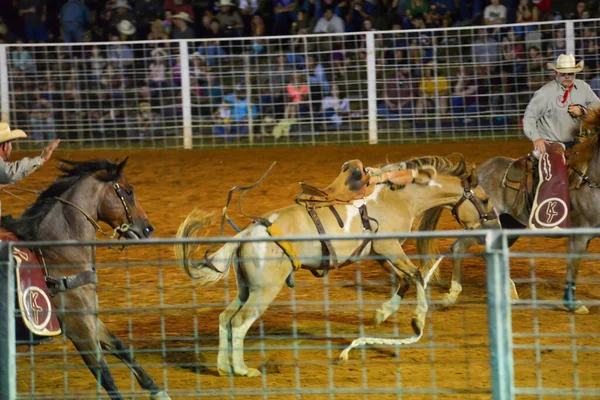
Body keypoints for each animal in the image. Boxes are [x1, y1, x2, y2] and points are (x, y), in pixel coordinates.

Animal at [2, 159, 171, 400]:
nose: (148, 228)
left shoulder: (89, 317)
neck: (56, 255)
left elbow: (120, 347)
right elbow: (105, 374)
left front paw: (156, 390)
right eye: (129, 191)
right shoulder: (78, 328)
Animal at [175, 155, 496, 376]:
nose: (492, 224)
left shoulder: (378, 252)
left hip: (246, 288)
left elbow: (404, 280)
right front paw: (416, 320)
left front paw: (381, 314)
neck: (398, 196)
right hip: (264, 290)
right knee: (240, 322)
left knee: (225, 318)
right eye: (484, 199)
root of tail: (246, 233)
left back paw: (222, 367)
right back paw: (243, 369)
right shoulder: (389, 247)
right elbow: (416, 275)